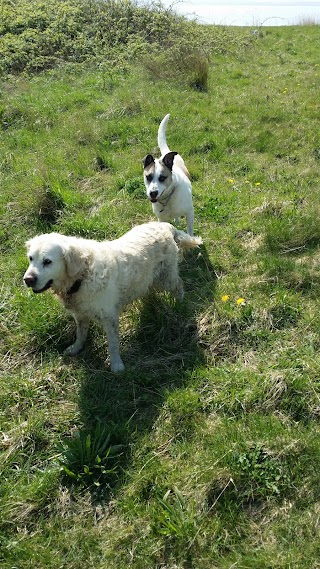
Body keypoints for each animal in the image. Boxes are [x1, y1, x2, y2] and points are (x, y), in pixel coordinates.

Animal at [23, 222, 201, 372]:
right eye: (30, 258)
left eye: (47, 261)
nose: (27, 279)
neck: (83, 276)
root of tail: (164, 225)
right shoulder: (80, 314)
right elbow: (81, 334)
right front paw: (76, 348)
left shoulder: (109, 317)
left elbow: (113, 344)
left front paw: (116, 365)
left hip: (167, 278)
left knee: (179, 287)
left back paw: (180, 304)